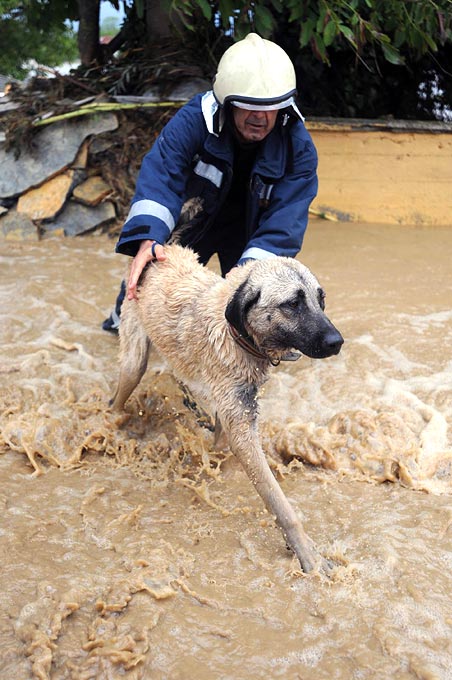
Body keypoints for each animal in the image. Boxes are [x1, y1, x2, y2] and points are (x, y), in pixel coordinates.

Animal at [111, 244, 344, 572]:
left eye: (320, 300)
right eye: (292, 304)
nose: (337, 342)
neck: (236, 333)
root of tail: (163, 249)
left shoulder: (231, 413)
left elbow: (220, 443)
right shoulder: (242, 431)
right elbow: (279, 503)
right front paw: (307, 553)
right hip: (134, 363)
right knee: (117, 399)